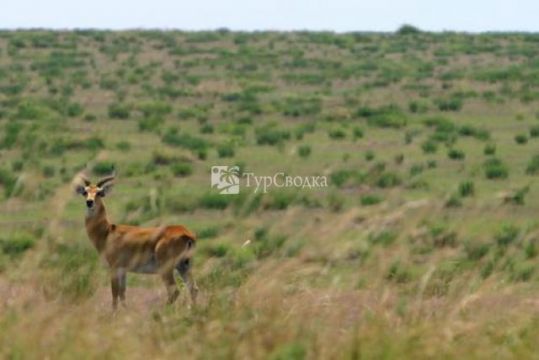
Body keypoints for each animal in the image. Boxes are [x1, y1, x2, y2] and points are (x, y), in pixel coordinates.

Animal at [73, 173, 197, 308]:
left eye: (99, 192)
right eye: (85, 192)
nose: (89, 202)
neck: (107, 232)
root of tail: (186, 233)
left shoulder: (114, 268)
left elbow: (114, 294)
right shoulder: (123, 270)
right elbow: (122, 294)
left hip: (167, 269)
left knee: (174, 291)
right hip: (184, 266)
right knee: (193, 288)